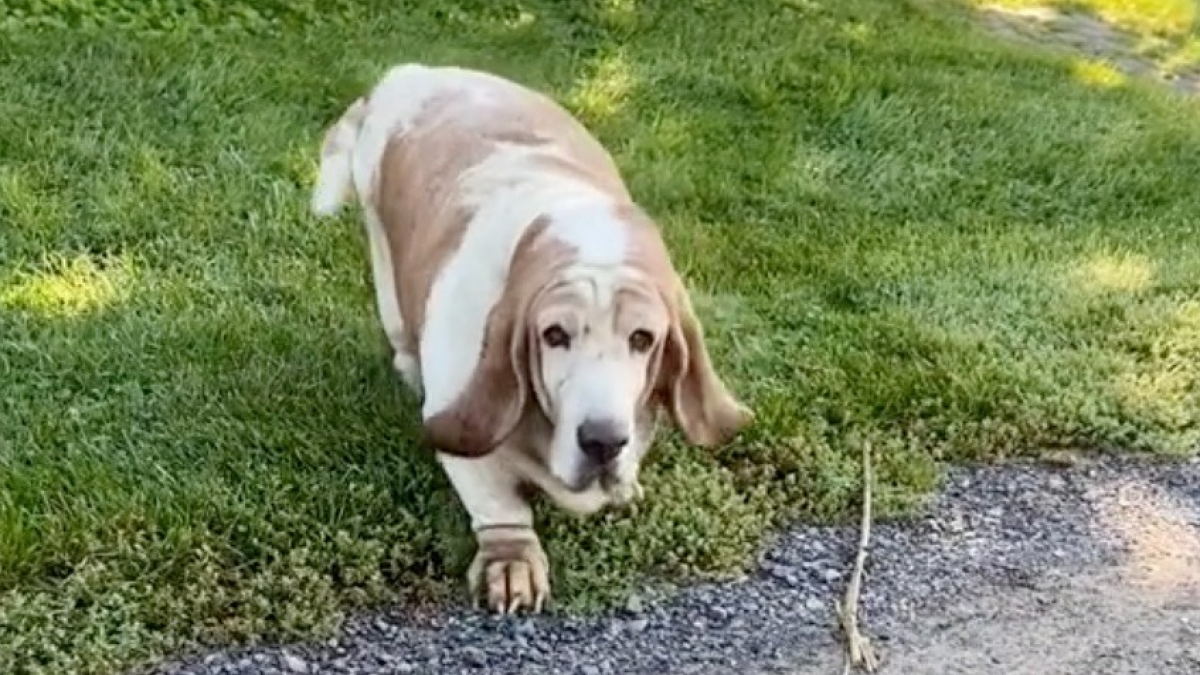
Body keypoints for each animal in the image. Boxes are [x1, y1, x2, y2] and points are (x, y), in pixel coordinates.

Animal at [309, 63, 748, 610]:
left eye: (643, 338)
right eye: (554, 335)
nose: (603, 441)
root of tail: (413, 73)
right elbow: (500, 506)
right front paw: (513, 564)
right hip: (384, 263)